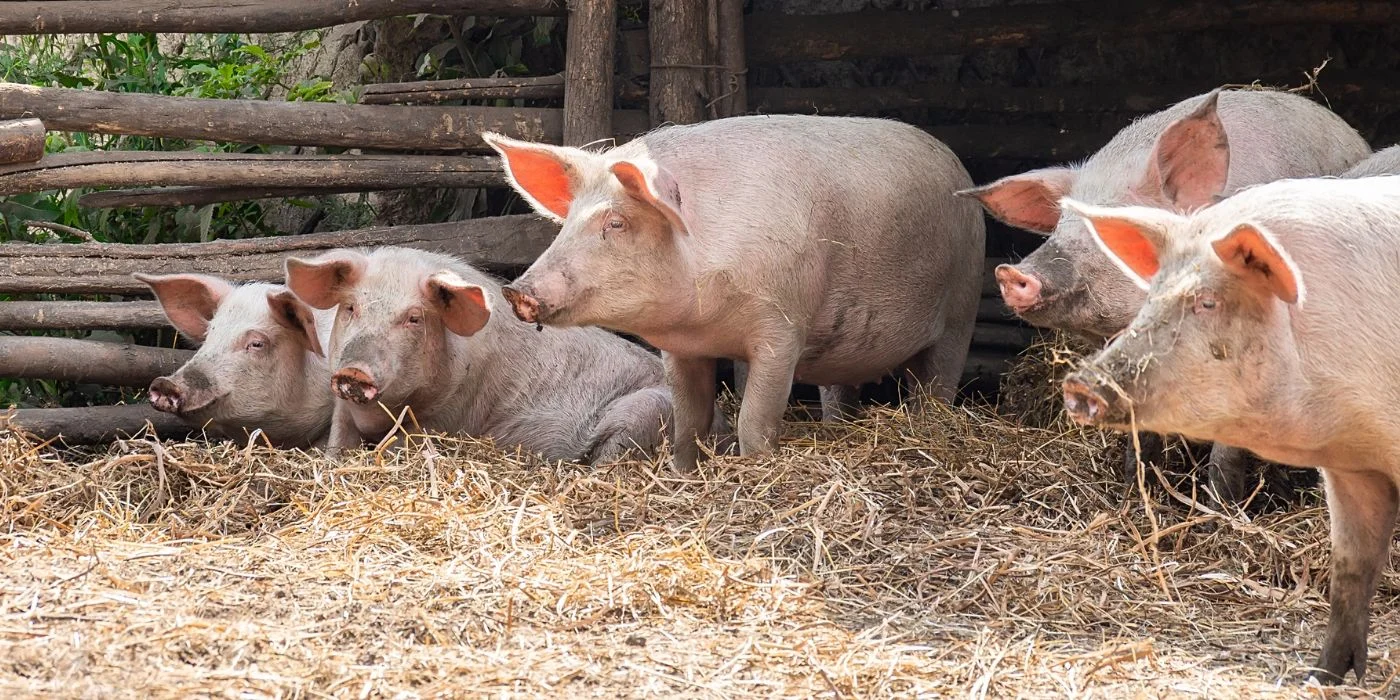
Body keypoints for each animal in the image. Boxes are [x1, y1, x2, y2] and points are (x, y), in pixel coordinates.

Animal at [283, 246, 699, 463]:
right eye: (351, 308)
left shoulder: (453, 415)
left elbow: (405, 443)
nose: (354, 372)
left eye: (414, 318)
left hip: (648, 410)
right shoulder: (343, 410)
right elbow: (336, 443)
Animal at [482, 115, 986, 471]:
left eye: (617, 223)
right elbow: (688, 418)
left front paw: (755, 468)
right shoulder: (681, 349)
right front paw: (682, 472)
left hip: (963, 302)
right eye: (568, 222)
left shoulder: (782, 328)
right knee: (840, 393)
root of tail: (956, 162)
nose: (516, 291)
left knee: (938, 384)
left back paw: (930, 426)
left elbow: (754, 419)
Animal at [1057, 176, 1400, 684]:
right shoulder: (1353, 465)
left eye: (1208, 301)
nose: (1081, 383)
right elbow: (1351, 568)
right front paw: (1319, 679)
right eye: (1151, 296)